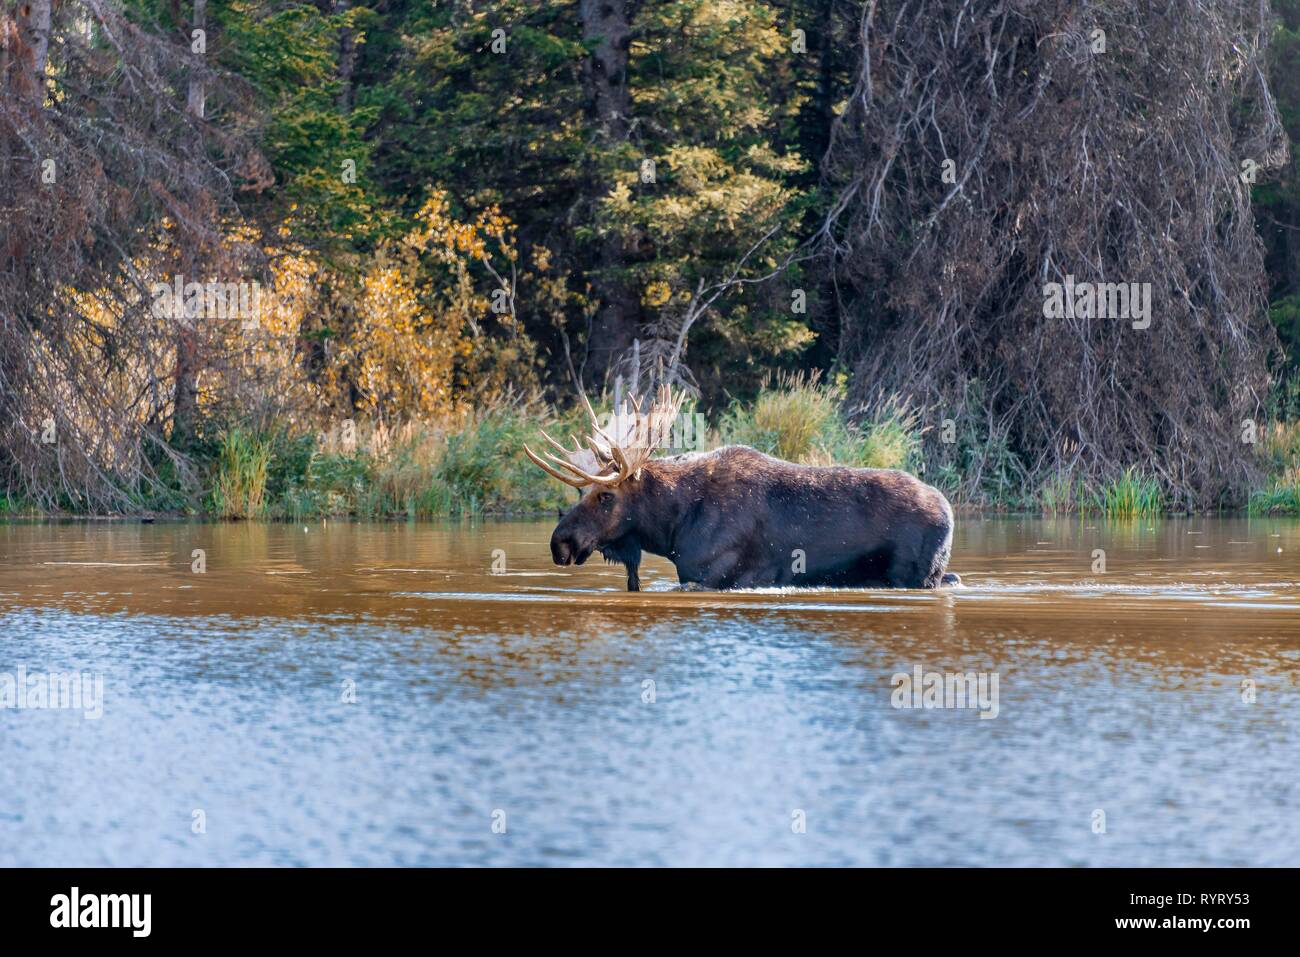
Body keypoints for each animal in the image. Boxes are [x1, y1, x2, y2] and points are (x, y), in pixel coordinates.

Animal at [522, 384, 961, 587]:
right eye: (579, 492)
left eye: (606, 494)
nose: (559, 543)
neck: (672, 527)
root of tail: (948, 509)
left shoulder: (715, 576)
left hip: (913, 574)